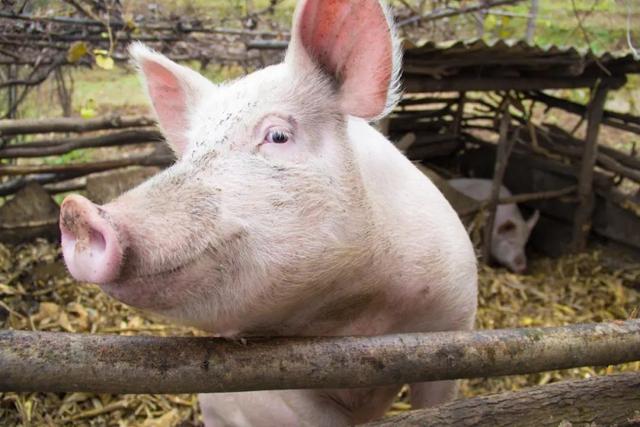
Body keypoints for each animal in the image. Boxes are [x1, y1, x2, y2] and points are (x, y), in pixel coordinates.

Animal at [60, 1, 478, 426]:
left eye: (277, 135)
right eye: (191, 151)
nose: (76, 210)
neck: (357, 309)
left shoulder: (456, 320)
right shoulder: (276, 382)